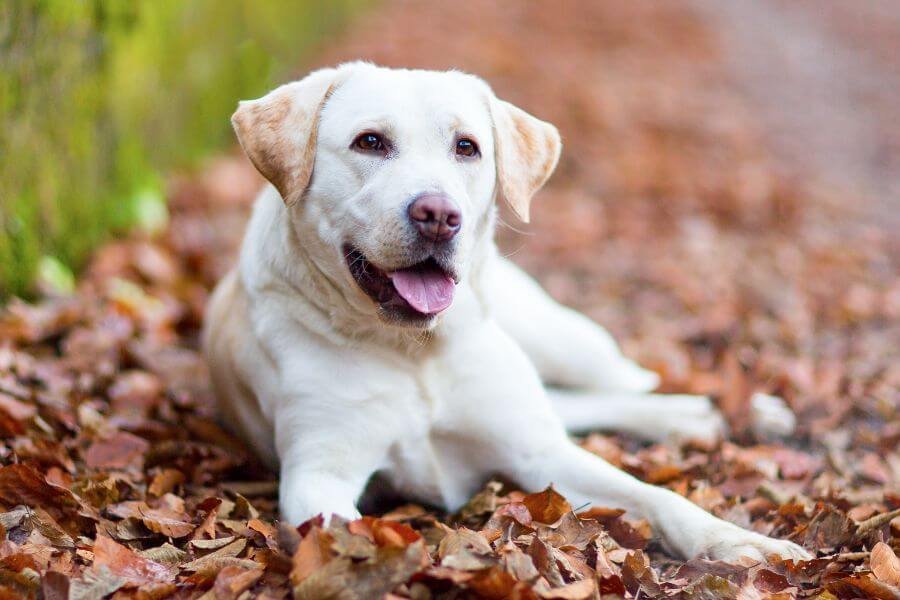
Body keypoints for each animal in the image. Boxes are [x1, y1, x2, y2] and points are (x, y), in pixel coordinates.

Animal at [204, 63, 808, 560]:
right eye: (369, 142)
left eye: (467, 147)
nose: (438, 215)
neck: (416, 352)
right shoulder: (319, 474)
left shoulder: (540, 454)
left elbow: (656, 495)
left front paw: (738, 541)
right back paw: (701, 417)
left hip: (562, 341)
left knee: (628, 380)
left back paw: (735, 409)